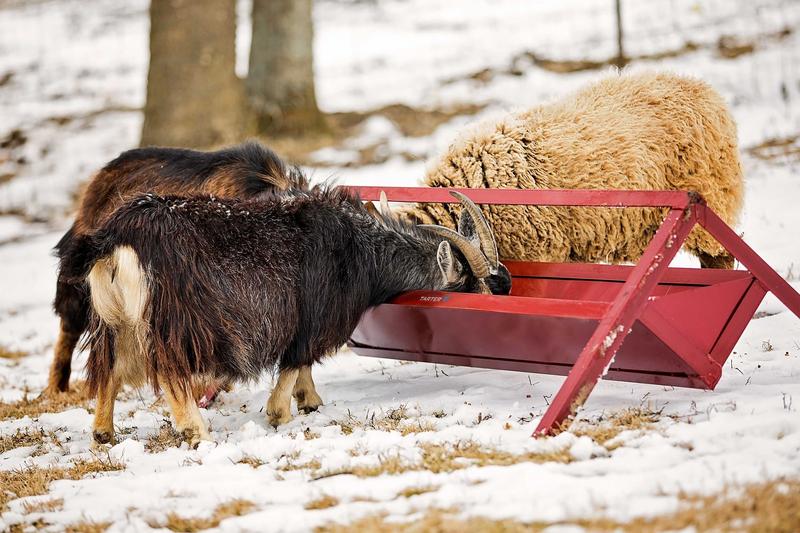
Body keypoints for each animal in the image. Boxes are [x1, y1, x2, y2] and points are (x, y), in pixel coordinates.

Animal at [64, 186, 510, 447]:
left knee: (110, 369)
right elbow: (297, 360)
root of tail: (116, 238)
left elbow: (304, 367)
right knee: (171, 371)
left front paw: (310, 400)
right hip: (176, 321)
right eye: (482, 286)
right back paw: (196, 431)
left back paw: (103, 432)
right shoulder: (310, 317)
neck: (360, 249)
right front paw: (281, 413)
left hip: (116, 322)